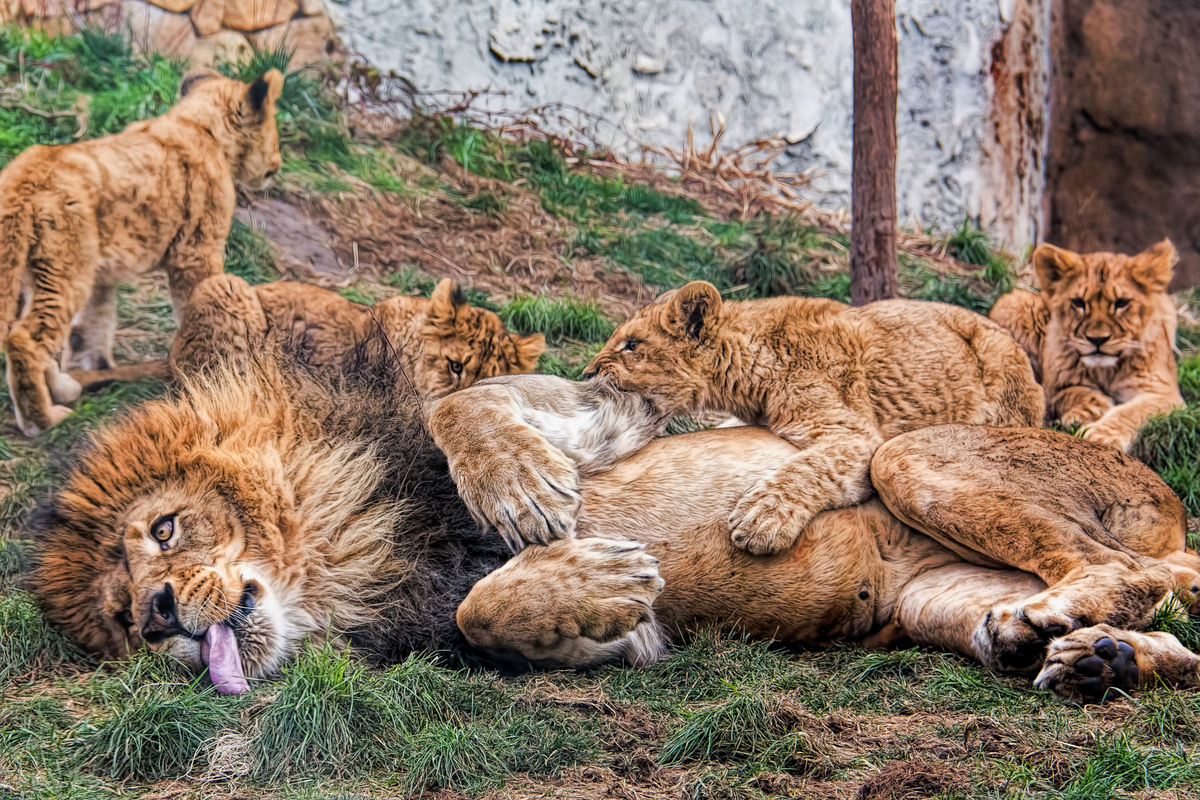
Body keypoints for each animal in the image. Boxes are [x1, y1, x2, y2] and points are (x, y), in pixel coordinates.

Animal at [0, 67, 283, 438]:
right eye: (274, 128)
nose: (278, 164)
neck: (196, 124)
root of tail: (23, 177)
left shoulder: (101, 274)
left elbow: (92, 325)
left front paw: (92, 369)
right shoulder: (196, 250)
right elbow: (202, 298)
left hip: (44, 268)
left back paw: (60, 390)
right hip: (65, 267)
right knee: (25, 339)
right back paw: (43, 419)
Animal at [25, 340, 1200, 705]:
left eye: (164, 531)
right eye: (117, 619)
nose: (160, 614)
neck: (348, 558)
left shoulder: (613, 400)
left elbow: (469, 407)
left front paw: (536, 510)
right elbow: (489, 619)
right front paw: (598, 590)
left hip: (909, 456)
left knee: (1128, 567)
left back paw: (1079, 626)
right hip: (932, 595)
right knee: (1143, 626)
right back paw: (1088, 656)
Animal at [988, 239, 1185, 450]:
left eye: (1121, 302)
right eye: (1078, 302)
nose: (1097, 340)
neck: (1106, 371)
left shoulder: (1163, 392)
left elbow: (1134, 411)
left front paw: (1102, 436)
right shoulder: (1053, 387)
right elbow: (1071, 392)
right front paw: (1091, 409)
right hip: (1013, 302)